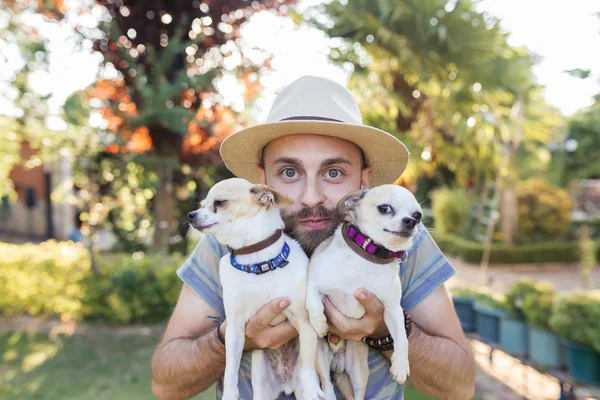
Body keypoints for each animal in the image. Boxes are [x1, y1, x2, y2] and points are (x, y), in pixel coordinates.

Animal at [189, 179, 326, 400]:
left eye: (220, 202)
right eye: (202, 204)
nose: (190, 215)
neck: (256, 262)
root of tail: (287, 384)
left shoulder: (304, 323)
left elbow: (306, 362)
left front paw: (312, 388)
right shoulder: (234, 330)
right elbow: (230, 368)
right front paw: (229, 395)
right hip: (262, 388)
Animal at [308, 185, 420, 400]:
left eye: (418, 215)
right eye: (384, 208)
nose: (411, 221)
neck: (369, 256)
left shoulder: (392, 310)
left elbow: (402, 338)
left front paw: (401, 366)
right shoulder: (313, 283)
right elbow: (313, 303)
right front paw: (319, 324)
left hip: (358, 371)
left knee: (358, 393)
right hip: (320, 356)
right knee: (327, 385)